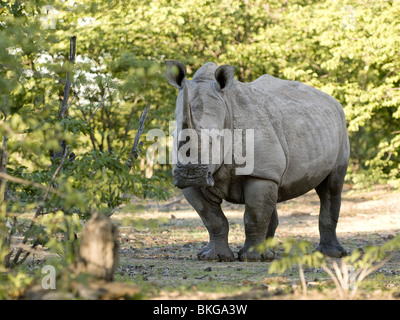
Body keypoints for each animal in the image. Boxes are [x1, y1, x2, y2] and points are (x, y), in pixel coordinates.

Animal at [164, 61, 348, 262]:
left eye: (215, 140)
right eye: (173, 137)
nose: (190, 175)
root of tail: (332, 100)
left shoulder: (260, 173)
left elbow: (254, 216)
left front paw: (252, 258)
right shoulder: (193, 184)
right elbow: (212, 219)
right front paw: (213, 257)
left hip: (340, 124)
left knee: (331, 187)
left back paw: (331, 254)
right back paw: (271, 254)